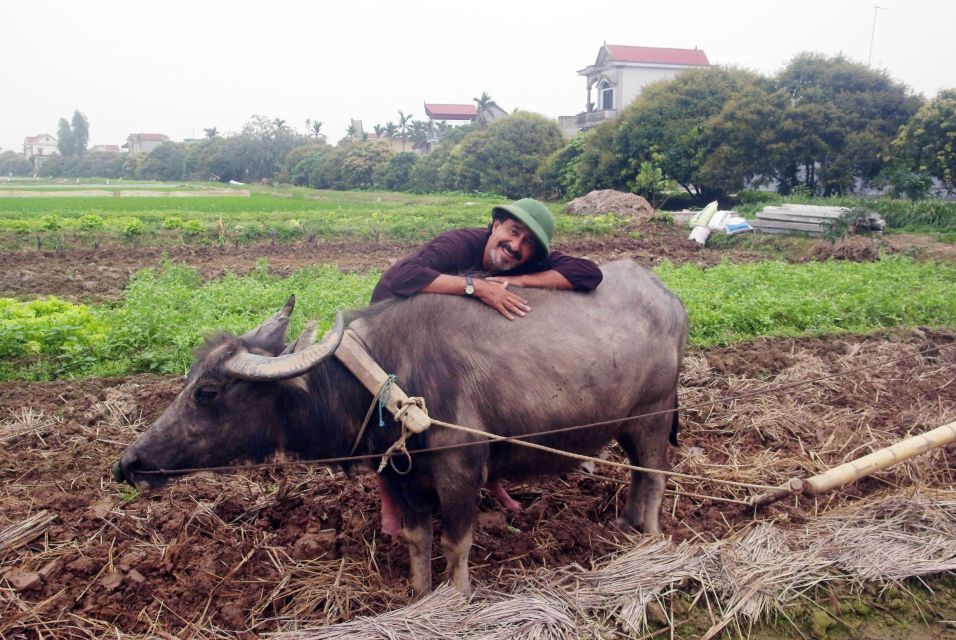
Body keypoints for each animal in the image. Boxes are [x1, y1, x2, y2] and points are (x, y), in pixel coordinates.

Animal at [116, 262, 688, 596]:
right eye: (189, 380)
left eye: (207, 393)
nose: (129, 463)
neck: (383, 380)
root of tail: (670, 299)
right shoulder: (401, 476)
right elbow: (417, 540)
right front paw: (418, 593)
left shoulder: (461, 470)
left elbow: (457, 544)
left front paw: (455, 598)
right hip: (626, 424)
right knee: (638, 475)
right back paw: (625, 526)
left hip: (654, 416)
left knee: (655, 476)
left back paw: (650, 540)